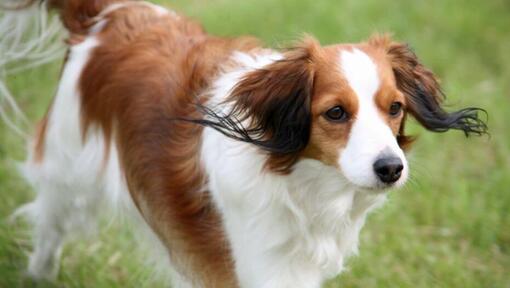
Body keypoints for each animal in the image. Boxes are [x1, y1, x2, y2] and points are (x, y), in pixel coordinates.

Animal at [0, 0, 486, 288]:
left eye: (395, 108)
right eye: (335, 113)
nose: (391, 168)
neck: (302, 183)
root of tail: (110, 13)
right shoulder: (262, 265)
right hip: (69, 165)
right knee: (51, 226)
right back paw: (40, 275)